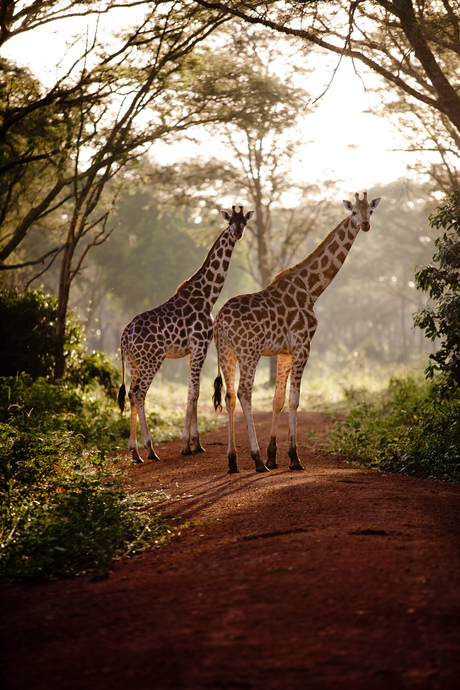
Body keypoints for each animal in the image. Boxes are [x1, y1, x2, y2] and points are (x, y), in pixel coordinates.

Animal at [118, 204, 253, 462]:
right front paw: (186, 445)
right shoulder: (200, 346)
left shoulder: (194, 349)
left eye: (245, 223)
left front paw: (196, 443)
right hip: (152, 360)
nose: (237, 234)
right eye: (230, 221)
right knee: (139, 393)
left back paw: (135, 451)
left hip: (134, 362)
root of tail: (124, 336)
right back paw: (150, 449)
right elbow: (192, 392)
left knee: (130, 393)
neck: (208, 296)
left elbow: (196, 392)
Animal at [212, 192, 380, 472]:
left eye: (371, 211)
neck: (312, 288)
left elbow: (277, 399)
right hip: (249, 351)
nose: (365, 225)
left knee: (229, 395)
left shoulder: (285, 352)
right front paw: (293, 457)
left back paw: (233, 461)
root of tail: (221, 321)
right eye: (354, 212)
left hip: (226, 352)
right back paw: (256, 460)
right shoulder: (303, 345)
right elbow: (295, 399)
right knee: (244, 392)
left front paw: (273, 455)